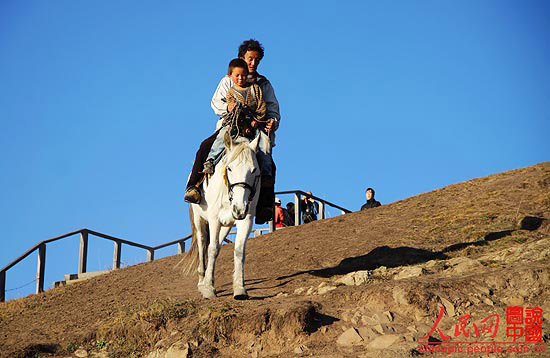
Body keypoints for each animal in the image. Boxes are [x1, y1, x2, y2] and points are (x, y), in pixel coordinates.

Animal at [189, 131, 262, 300]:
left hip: (226, 225)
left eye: (254, 170)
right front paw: (209, 288)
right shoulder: (214, 219)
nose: (239, 208)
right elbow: (212, 248)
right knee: (203, 243)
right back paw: (202, 282)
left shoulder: (246, 220)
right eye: (229, 168)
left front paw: (240, 288)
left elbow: (239, 250)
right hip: (199, 219)